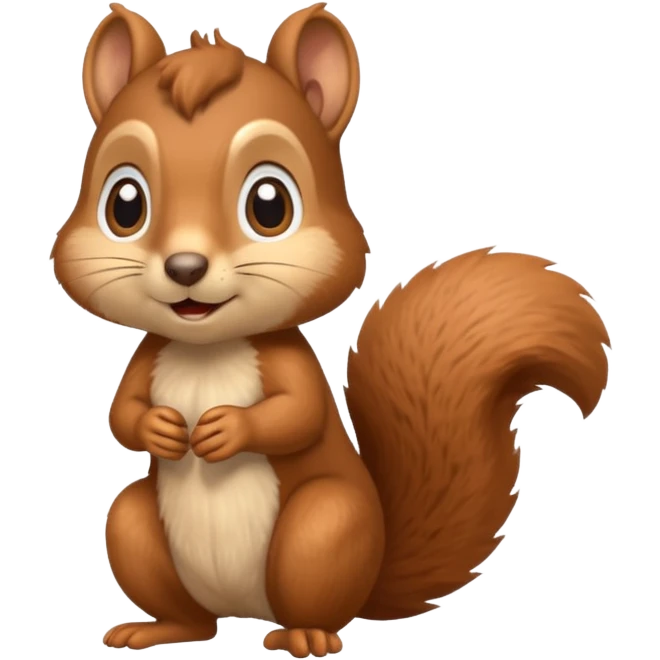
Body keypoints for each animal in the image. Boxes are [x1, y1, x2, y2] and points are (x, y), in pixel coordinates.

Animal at [50, 3, 612, 658]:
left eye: (270, 205)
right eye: (124, 205)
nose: (185, 268)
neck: (207, 349)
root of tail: (246, 612)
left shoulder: (291, 364)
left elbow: (298, 414)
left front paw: (227, 428)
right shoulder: (149, 357)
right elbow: (122, 412)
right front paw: (160, 428)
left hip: (323, 529)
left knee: (312, 592)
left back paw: (307, 636)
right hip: (137, 528)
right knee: (186, 608)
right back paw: (160, 627)